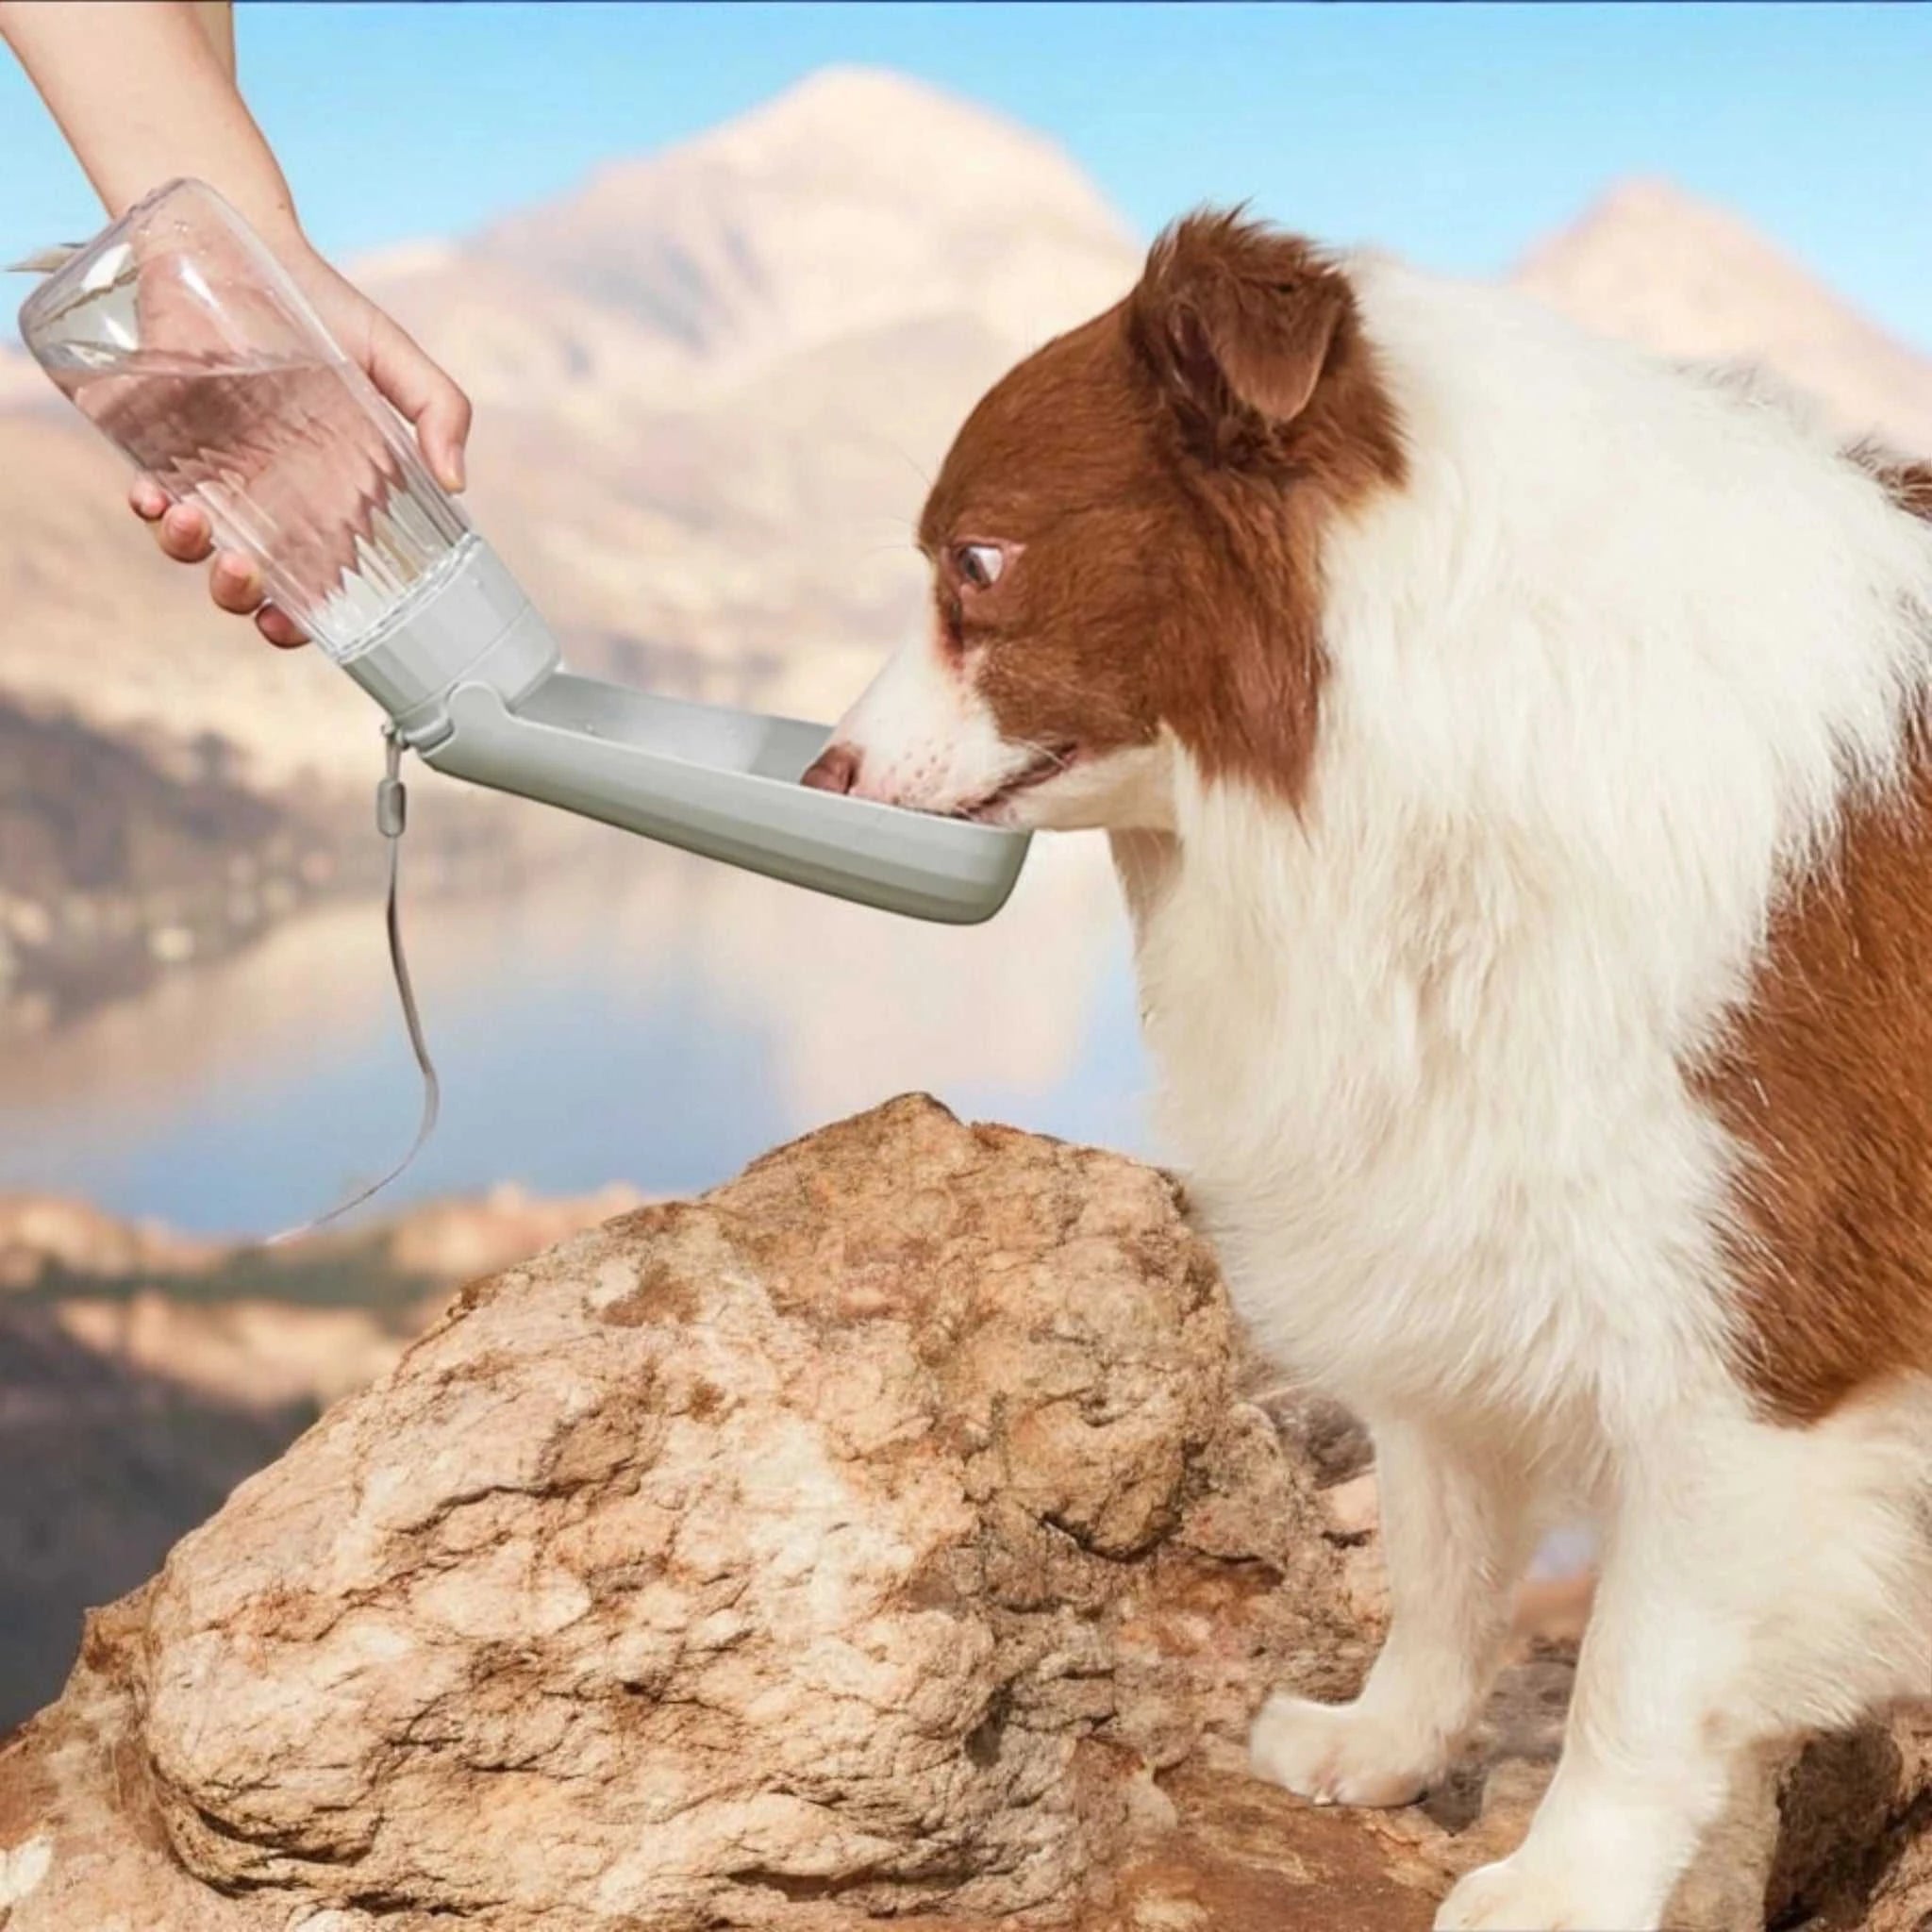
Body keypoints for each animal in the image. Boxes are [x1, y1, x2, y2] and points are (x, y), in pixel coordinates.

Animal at [795, 215, 1932, 1932]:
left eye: (976, 562)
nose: (821, 772)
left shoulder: (1764, 1321)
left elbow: (1641, 1660)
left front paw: (1568, 1879)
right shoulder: (1448, 1172)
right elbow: (1440, 1533)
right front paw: (1383, 1741)